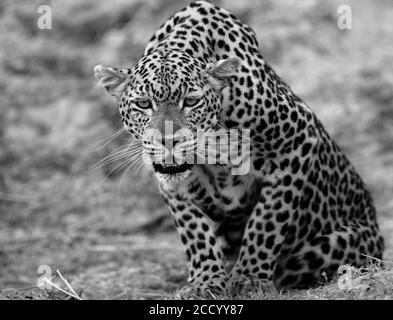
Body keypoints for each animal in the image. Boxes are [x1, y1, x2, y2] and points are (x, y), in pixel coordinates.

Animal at [94, 0, 382, 296]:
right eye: (143, 104)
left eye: (191, 101)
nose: (168, 140)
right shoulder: (173, 186)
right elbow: (194, 231)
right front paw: (206, 280)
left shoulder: (298, 142)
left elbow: (267, 221)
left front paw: (250, 277)